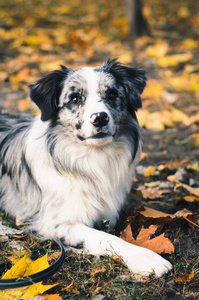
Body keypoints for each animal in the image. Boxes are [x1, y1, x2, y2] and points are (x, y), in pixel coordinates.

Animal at [0, 58, 172, 276]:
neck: (92, 157)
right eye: (75, 99)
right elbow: (107, 237)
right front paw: (145, 257)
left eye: (112, 94)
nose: (100, 118)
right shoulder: (54, 223)